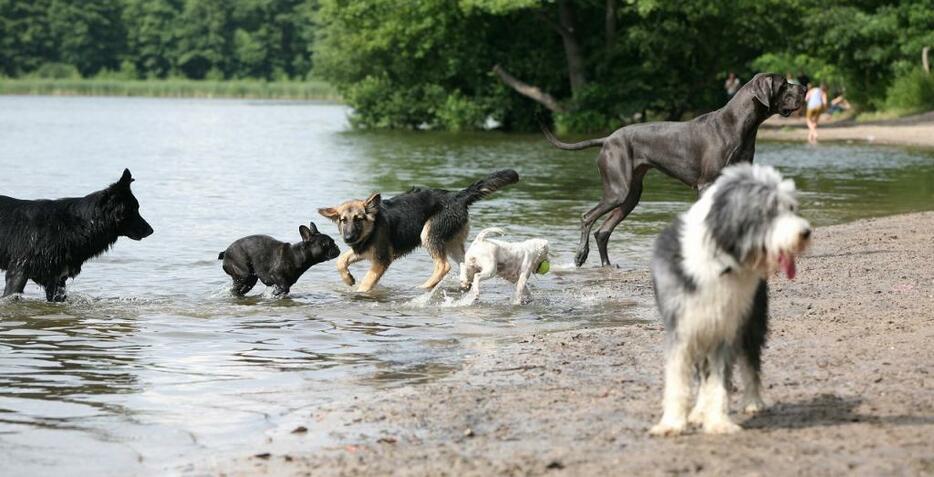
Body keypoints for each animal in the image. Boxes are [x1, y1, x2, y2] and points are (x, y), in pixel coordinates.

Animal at [320, 169, 520, 292]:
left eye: (358, 219)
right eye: (343, 220)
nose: (348, 238)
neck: (372, 228)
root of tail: (457, 196)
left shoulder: (382, 259)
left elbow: (367, 281)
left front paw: (359, 291)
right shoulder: (363, 250)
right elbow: (340, 260)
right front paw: (348, 279)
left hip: (428, 234)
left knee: (443, 266)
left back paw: (424, 287)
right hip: (451, 243)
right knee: (464, 263)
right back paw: (463, 283)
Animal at [652, 165, 812, 436]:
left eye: (791, 208)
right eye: (769, 211)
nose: (805, 233)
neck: (721, 261)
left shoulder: (725, 330)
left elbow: (719, 381)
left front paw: (718, 422)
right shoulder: (683, 329)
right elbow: (678, 379)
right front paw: (672, 424)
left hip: (751, 322)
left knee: (750, 364)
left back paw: (752, 402)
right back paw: (698, 412)